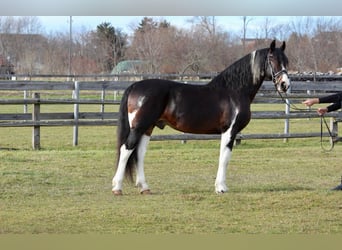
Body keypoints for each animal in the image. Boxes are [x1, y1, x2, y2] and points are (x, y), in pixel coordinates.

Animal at [111, 39, 290, 195]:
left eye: (286, 61)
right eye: (272, 59)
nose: (284, 84)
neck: (233, 91)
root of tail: (135, 85)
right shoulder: (229, 131)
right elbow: (224, 158)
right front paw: (221, 188)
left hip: (148, 128)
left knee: (139, 153)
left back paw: (144, 187)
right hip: (139, 127)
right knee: (126, 149)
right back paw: (117, 187)